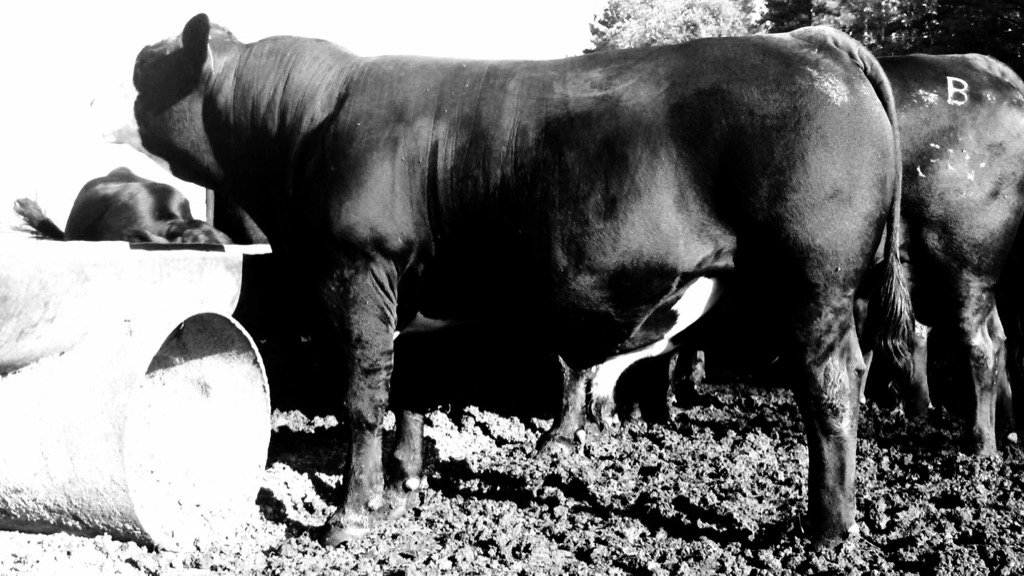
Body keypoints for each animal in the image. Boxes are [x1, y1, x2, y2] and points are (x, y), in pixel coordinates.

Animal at [133, 14, 912, 544]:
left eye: (157, 64)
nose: (136, 60)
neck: (309, 124)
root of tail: (812, 41)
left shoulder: (355, 267)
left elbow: (361, 394)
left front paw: (350, 514)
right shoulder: (415, 294)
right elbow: (409, 388)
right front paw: (404, 488)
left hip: (814, 280)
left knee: (830, 386)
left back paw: (826, 528)